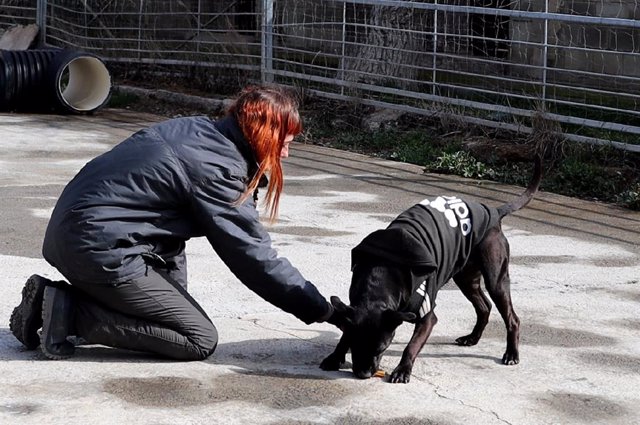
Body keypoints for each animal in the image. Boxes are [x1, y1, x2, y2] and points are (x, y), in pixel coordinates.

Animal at [322, 157, 544, 382]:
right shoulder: (353, 309)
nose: (364, 374)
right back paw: (472, 338)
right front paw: (335, 356)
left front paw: (402, 369)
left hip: (495, 279)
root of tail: (494, 212)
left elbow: (411, 346)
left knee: (512, 318)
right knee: (484, 307)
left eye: (382, 348)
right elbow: (345, 332)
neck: (381, 275)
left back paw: (511, 353)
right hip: (466, 278)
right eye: (354, 346)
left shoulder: (427, 316)